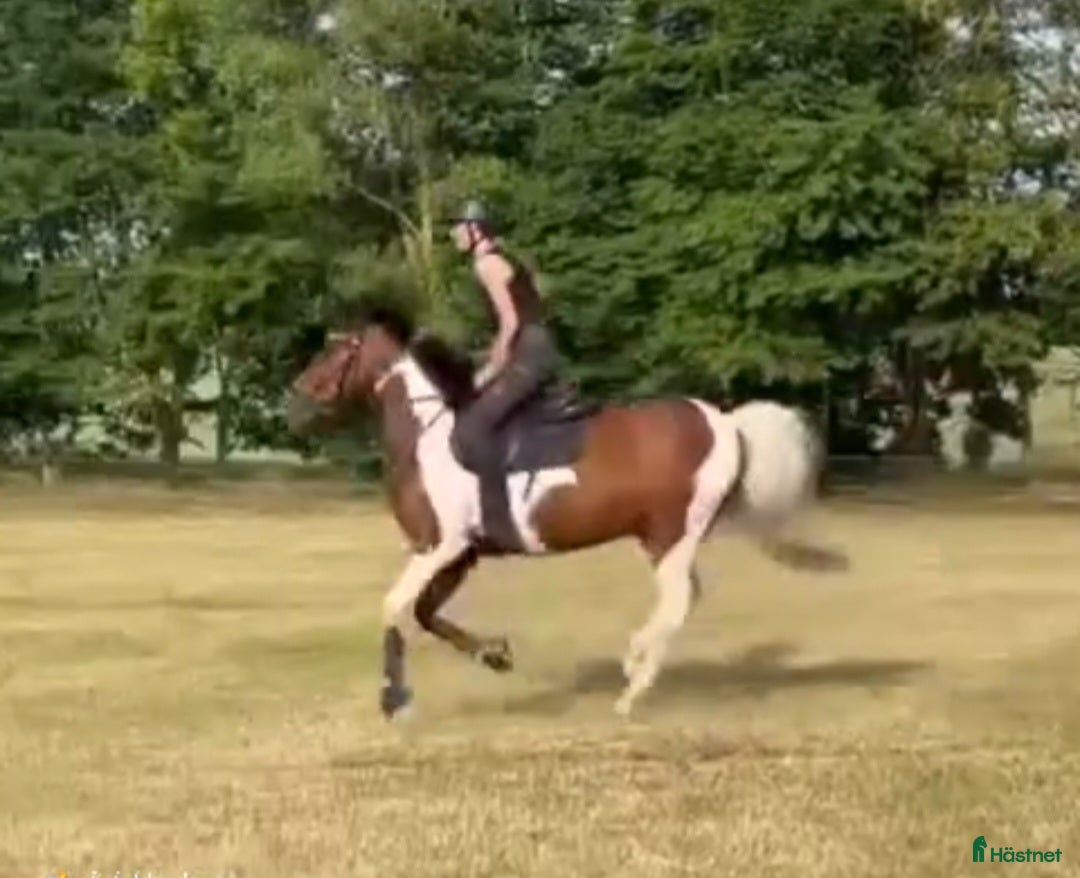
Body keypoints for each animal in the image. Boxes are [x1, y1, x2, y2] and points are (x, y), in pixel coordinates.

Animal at [287, 307, 845, 719]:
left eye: (336, 349)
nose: (294, 400)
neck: (431, 434)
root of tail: (726, 422)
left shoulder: (438, 546)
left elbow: (395, 608)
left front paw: (394, 700)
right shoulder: (460, 554)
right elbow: (426, 614)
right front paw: (495, 655)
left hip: (670, 536)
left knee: (677, 601)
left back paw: (631, 682)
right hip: (665, 539)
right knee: (684, 599)